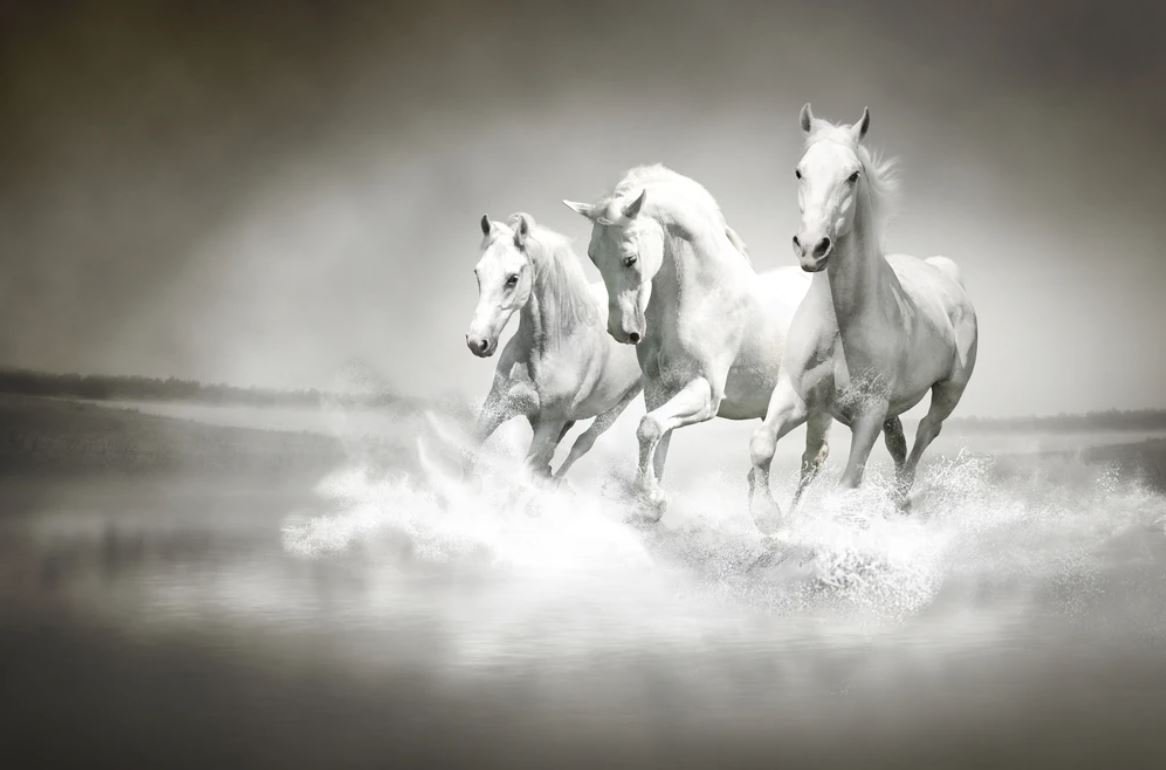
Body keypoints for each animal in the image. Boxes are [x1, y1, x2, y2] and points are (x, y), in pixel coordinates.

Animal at [466, 212, 642, 479]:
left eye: (512, 279)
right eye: (478, 273)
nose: (477, 342)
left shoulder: (548, 425)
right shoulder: (496, 406)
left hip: (618, 406)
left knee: (582, 444)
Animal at [563, 165, 826, 518]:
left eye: (630, 258)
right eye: (593, 257)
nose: (622, 330)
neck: (703, 297)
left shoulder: (706, 392)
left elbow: (648, 428)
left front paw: (653, 497)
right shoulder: (660, 390)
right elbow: (657, 440)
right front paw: (650, 501)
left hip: (820, 410)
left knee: (813, 460)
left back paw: (784, 522)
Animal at [748, 105, 978, 523]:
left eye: (853, 175)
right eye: (800, 171)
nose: (812, 248)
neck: (842, 322)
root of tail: (946, 274)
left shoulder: (868, 413)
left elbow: (847, 484)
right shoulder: (797, 395)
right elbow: (763, 445)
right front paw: (768, 517)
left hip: (949, 391)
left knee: (925, 433)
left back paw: (899, 501)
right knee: (896, 443)